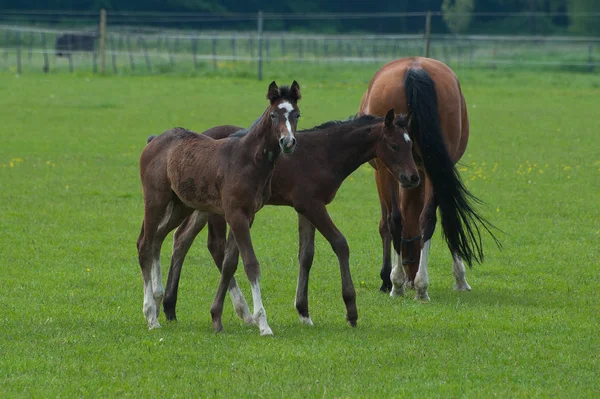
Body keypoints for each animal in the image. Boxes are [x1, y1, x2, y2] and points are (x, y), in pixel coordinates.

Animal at [136, 79, 300, 336]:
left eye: (297, 115)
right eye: (273, 115)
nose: (288, 142)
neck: (249, 160)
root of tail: (154, 141)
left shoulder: (247, 215)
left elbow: (229, 263)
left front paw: (218, 318)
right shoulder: (235, 214)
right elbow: (251, 264)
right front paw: (263, 323)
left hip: (181, 204)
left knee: (158, 239)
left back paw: (158, 296)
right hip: (155, 199)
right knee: (144, 244)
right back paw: (151, 315)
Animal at [162, 109, 420, 328]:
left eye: (411, 145)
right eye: (394, 145)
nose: (413, 178)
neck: (324, 152)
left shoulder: (305, 209)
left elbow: (306, 255)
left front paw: (304, 312)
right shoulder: (311, 205)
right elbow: (340, 243)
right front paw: (351, 309)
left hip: (202, 204)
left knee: (182, 238)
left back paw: (169, 307)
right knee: (213, 245)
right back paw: (241, 311)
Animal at [358, 56, 500, 300]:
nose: (410, 275)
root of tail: (415, 70)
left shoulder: (382, 172)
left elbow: (385, 223)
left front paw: (387, 279)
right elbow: (445, 215)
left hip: (386, 171)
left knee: (396, 219)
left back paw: (399, 284)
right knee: (428, 218)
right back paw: (421, 287)